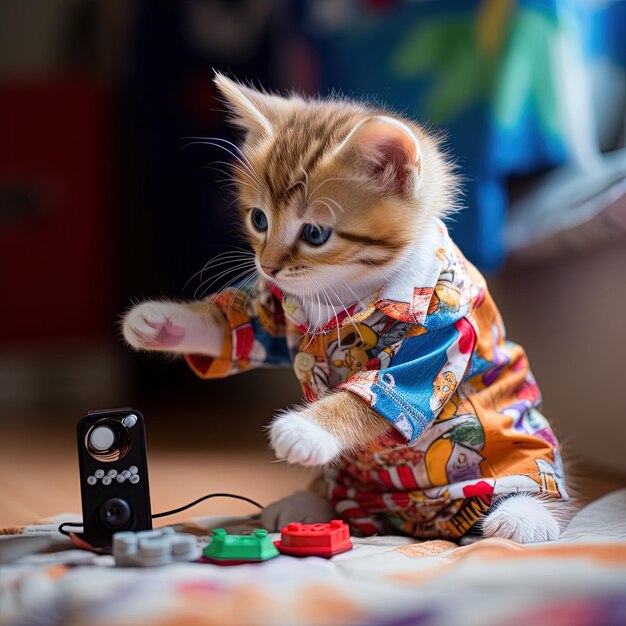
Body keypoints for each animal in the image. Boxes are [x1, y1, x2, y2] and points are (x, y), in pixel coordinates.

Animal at [122, 73, 572, 540]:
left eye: (315, 234)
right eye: (259, 220)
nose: (267, 266)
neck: (344, 288)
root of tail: (413, 520)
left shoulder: (443, 332)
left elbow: (373, 396)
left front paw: (304, 429)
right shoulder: (277, 311)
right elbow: (239, 331)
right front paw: (161, 321)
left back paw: (524, 513)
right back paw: (310, 501)